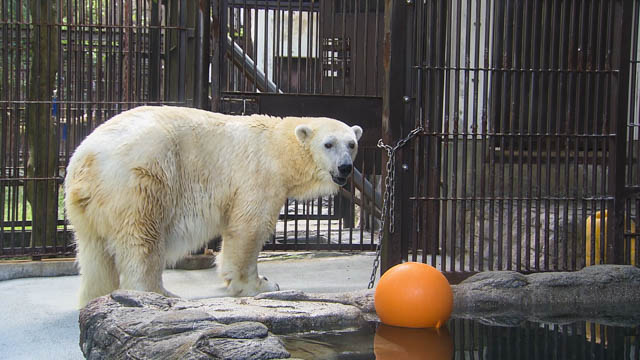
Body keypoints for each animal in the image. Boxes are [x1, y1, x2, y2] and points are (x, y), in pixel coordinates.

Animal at [68, 105, 364, 308]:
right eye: (328, 144)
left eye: (351, 143)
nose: (345, 167)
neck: (279, 147)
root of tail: (86, 157)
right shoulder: (259, 175)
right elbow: (249, 227)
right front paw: (261, 284)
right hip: (141, 178)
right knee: (143, 238)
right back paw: (161, 294)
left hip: (88, 207)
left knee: (95, 255)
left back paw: (98, 298)